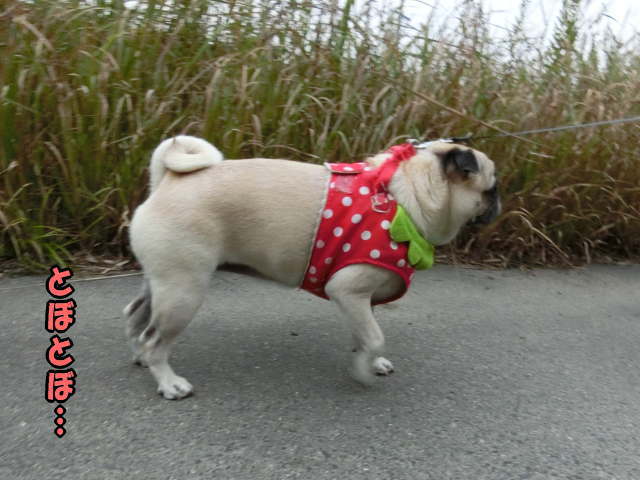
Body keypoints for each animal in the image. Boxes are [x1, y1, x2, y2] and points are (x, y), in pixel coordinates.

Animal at [124, 136, 500, 399]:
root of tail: (167, 181)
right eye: (491, 188)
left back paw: (142, 358)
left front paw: (367, 360)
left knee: (138, 318)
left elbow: (364, 333)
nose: (499, 201)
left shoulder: (358, 299)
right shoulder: (346, 289)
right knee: (155, 338)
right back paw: (169, 382)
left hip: (163, 283)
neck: (408, 197)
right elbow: (375, 336)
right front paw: (362, 370)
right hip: (184, 291)